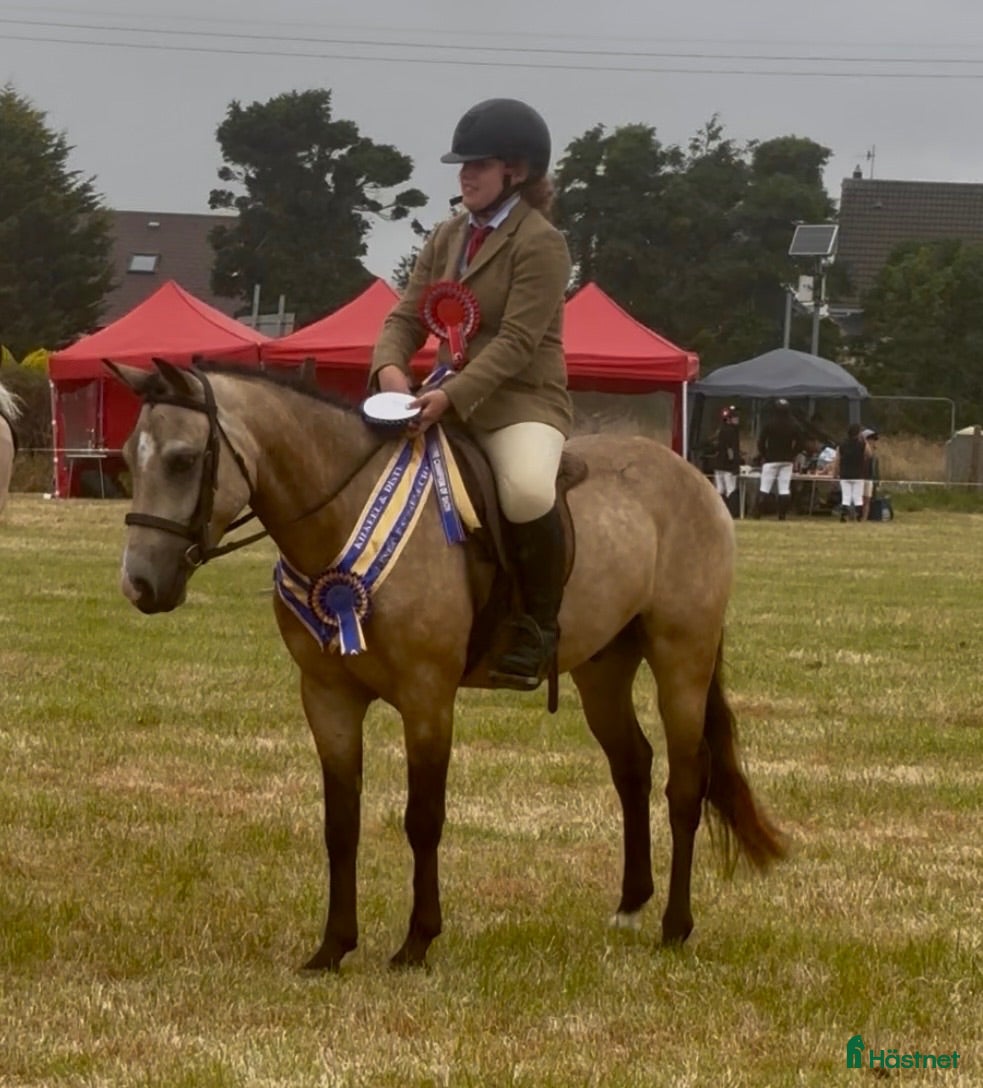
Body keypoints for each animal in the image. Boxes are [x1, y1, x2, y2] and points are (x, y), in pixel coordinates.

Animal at [108, 359, 786, 971]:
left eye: (182, 460)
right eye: (127, 461)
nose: (139, 585)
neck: (344, 518)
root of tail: (692, 478)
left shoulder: (427, 697)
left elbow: (424, 818)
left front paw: (416, 942)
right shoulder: (326, 697)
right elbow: (340, 823)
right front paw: (332, 948)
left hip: (682, 660)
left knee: (685, 783)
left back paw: (675, 926)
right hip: (602, 668)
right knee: (633, 767)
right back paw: (629, 906)